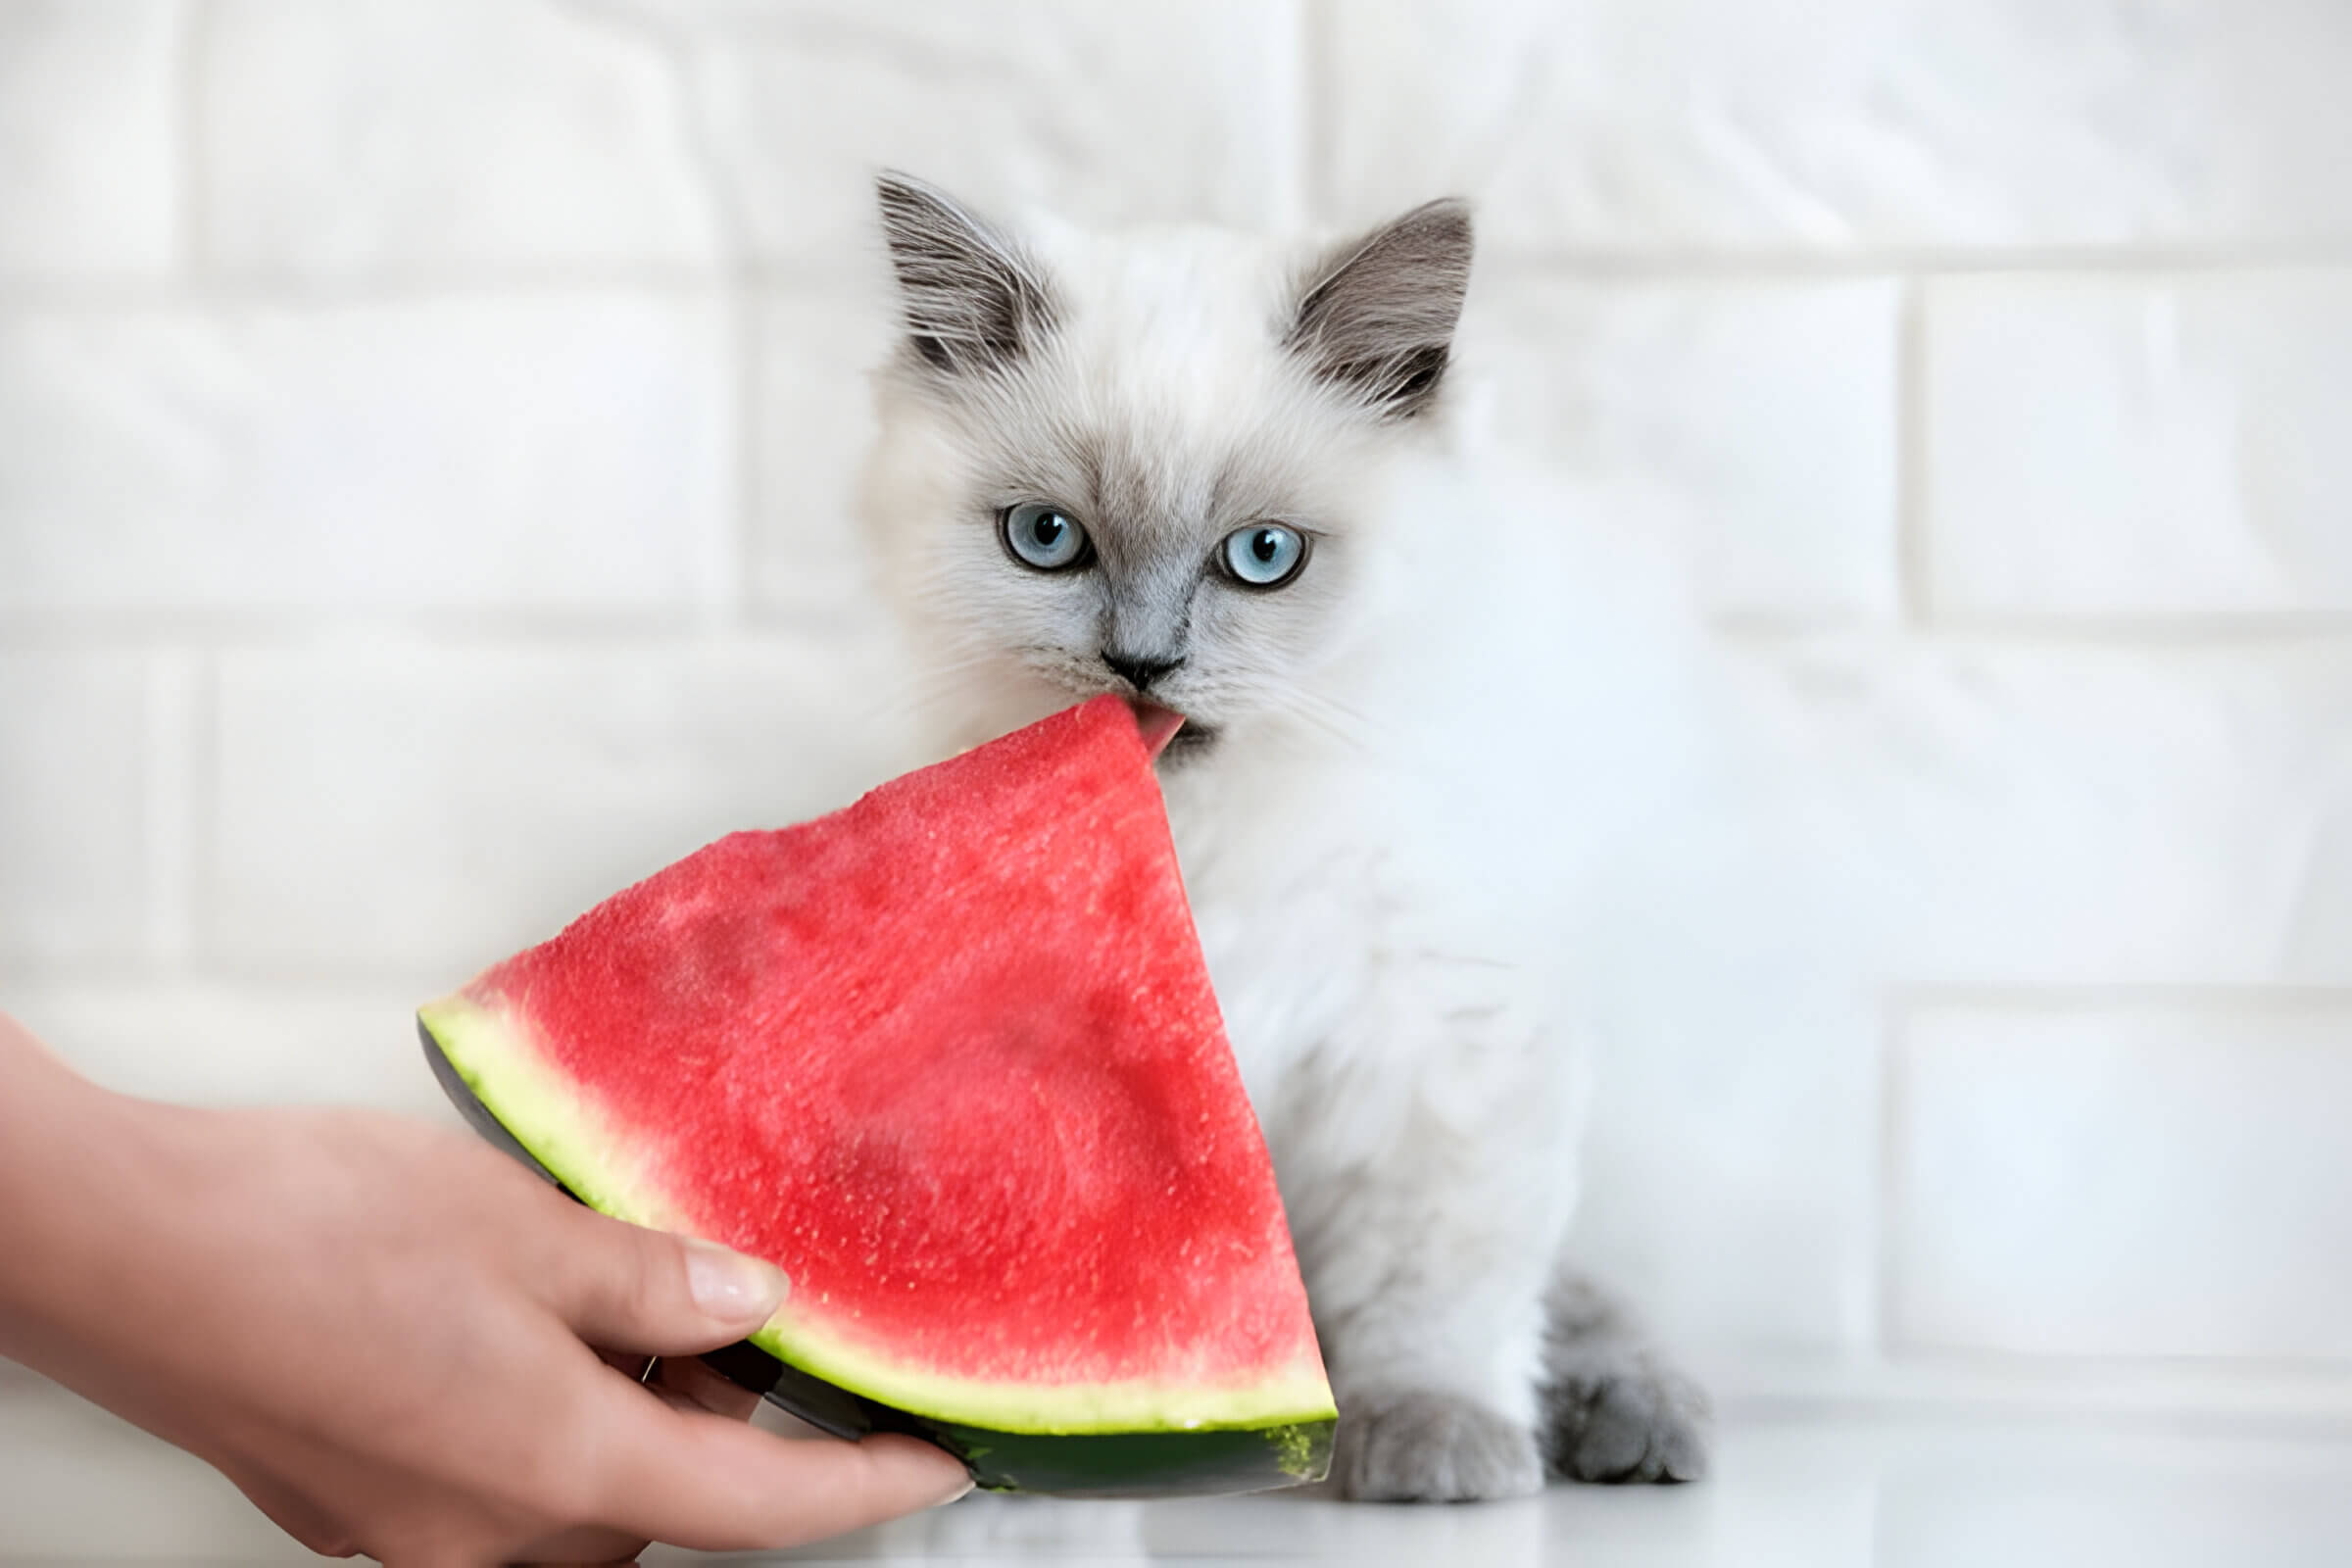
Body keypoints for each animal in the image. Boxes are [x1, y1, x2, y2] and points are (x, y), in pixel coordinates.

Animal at [856, 172, 1702, 1504]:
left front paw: (1431, 1446)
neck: (1200, 841)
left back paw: (1621, 1423)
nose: (1142, 665)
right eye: (1046, 539)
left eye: (1263, 557)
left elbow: (1432, 1289)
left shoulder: (1437, 1045)